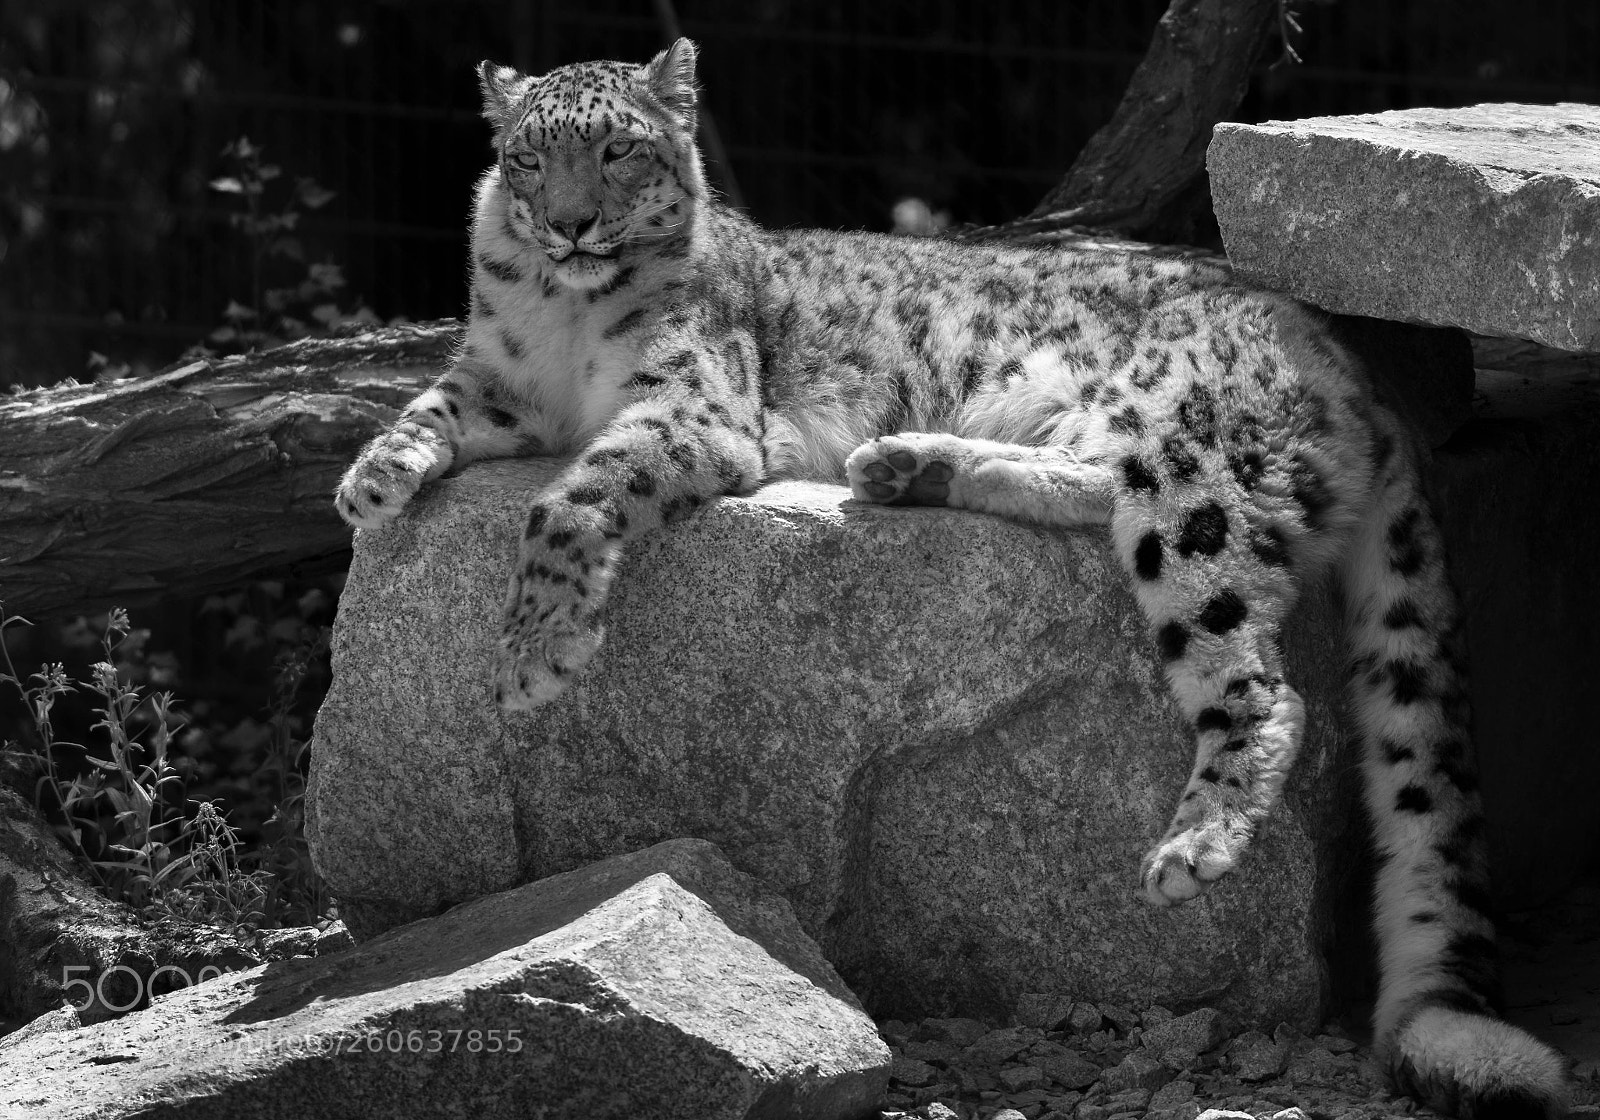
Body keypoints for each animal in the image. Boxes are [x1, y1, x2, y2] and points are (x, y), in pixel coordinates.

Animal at [335, 38, 1569, 1119]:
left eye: (621, 150)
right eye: (528, 157)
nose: (569, 222)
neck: (561, 317)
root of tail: (1342, 354)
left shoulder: (692, 404)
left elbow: (569, 495)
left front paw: (534, 654)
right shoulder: (502, 380)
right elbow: (432, 403)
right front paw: (370, 481)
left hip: (1188, 477)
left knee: (1257, 677)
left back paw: (1195, 844)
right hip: (1108, 438)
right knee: (1096, 494)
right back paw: (908, 464)